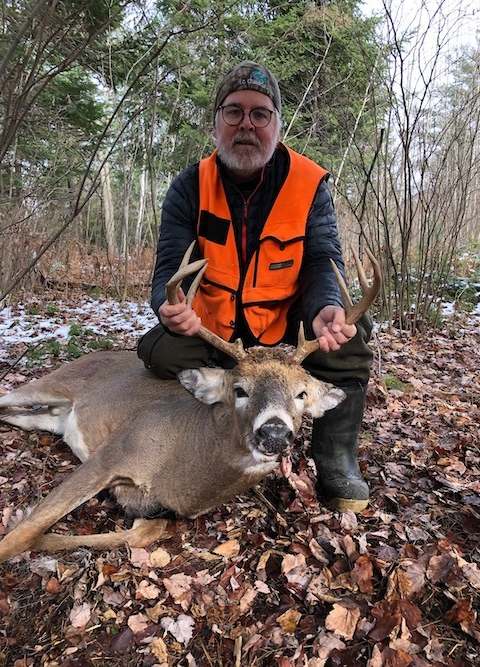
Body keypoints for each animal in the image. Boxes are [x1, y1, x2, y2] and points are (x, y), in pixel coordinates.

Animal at [0, 244, 381, 563]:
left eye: (301, 394)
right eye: (239, 389)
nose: (274, 432)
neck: (182, 468)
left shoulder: (154, 508)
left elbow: (139, 535)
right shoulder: (111, 454)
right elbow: (23, 535)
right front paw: (22, 526)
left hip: (53, 417)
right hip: (53, 383)